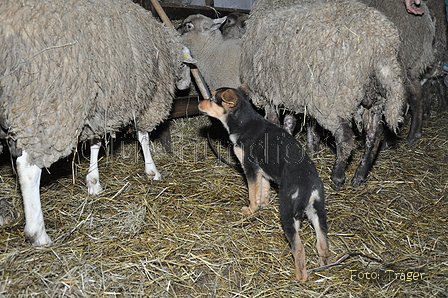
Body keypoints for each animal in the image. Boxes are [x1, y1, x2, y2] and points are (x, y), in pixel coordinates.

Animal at [0, 0, 186, 246]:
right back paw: (38, 234)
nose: (186, 86)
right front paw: (152, 171)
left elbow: (96, 143)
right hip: (44, 106)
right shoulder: (148, 102)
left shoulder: (100, 107)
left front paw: (93, 182)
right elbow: (143, 137)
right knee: (28, 168)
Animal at [199, 85, 328, 280]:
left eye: (213, 99)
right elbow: (264, 189)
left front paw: (251, 210)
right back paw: (324, 268)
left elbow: (253, 193)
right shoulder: (263, 171)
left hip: (289, 212)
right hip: (317, 211)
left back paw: (300, 277)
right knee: (322, 245)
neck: (244, 121)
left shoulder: (250, 168)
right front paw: (264, 203)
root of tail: (308, 186)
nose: (199, 103)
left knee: (299, 248)